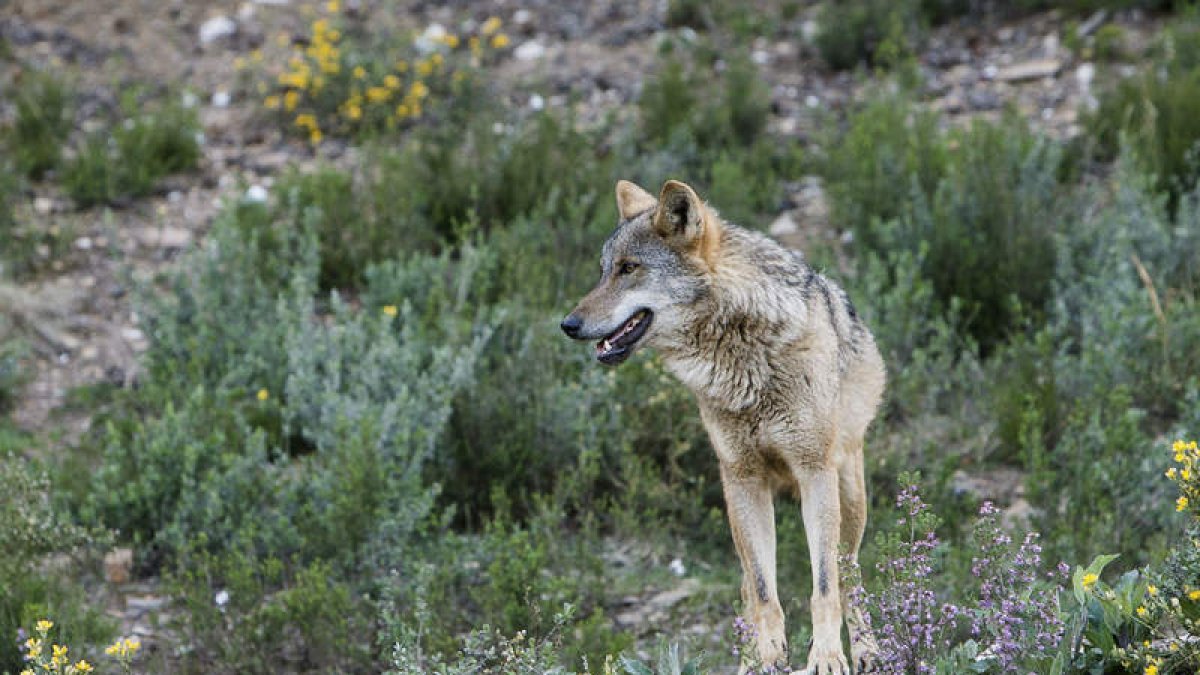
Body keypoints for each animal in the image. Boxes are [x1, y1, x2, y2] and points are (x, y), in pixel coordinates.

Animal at [561, 179, 885, 674]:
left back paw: (867, 652)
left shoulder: (814, 472)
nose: (568, 324)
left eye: (629, 268)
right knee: (749, 587)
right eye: (603, 272)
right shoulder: (742, 477)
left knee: (849, 575)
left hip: (848, 496)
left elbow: (824, 586)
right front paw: (768, 657)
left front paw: (827, 657)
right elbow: (764, 591)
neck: (745, 356)